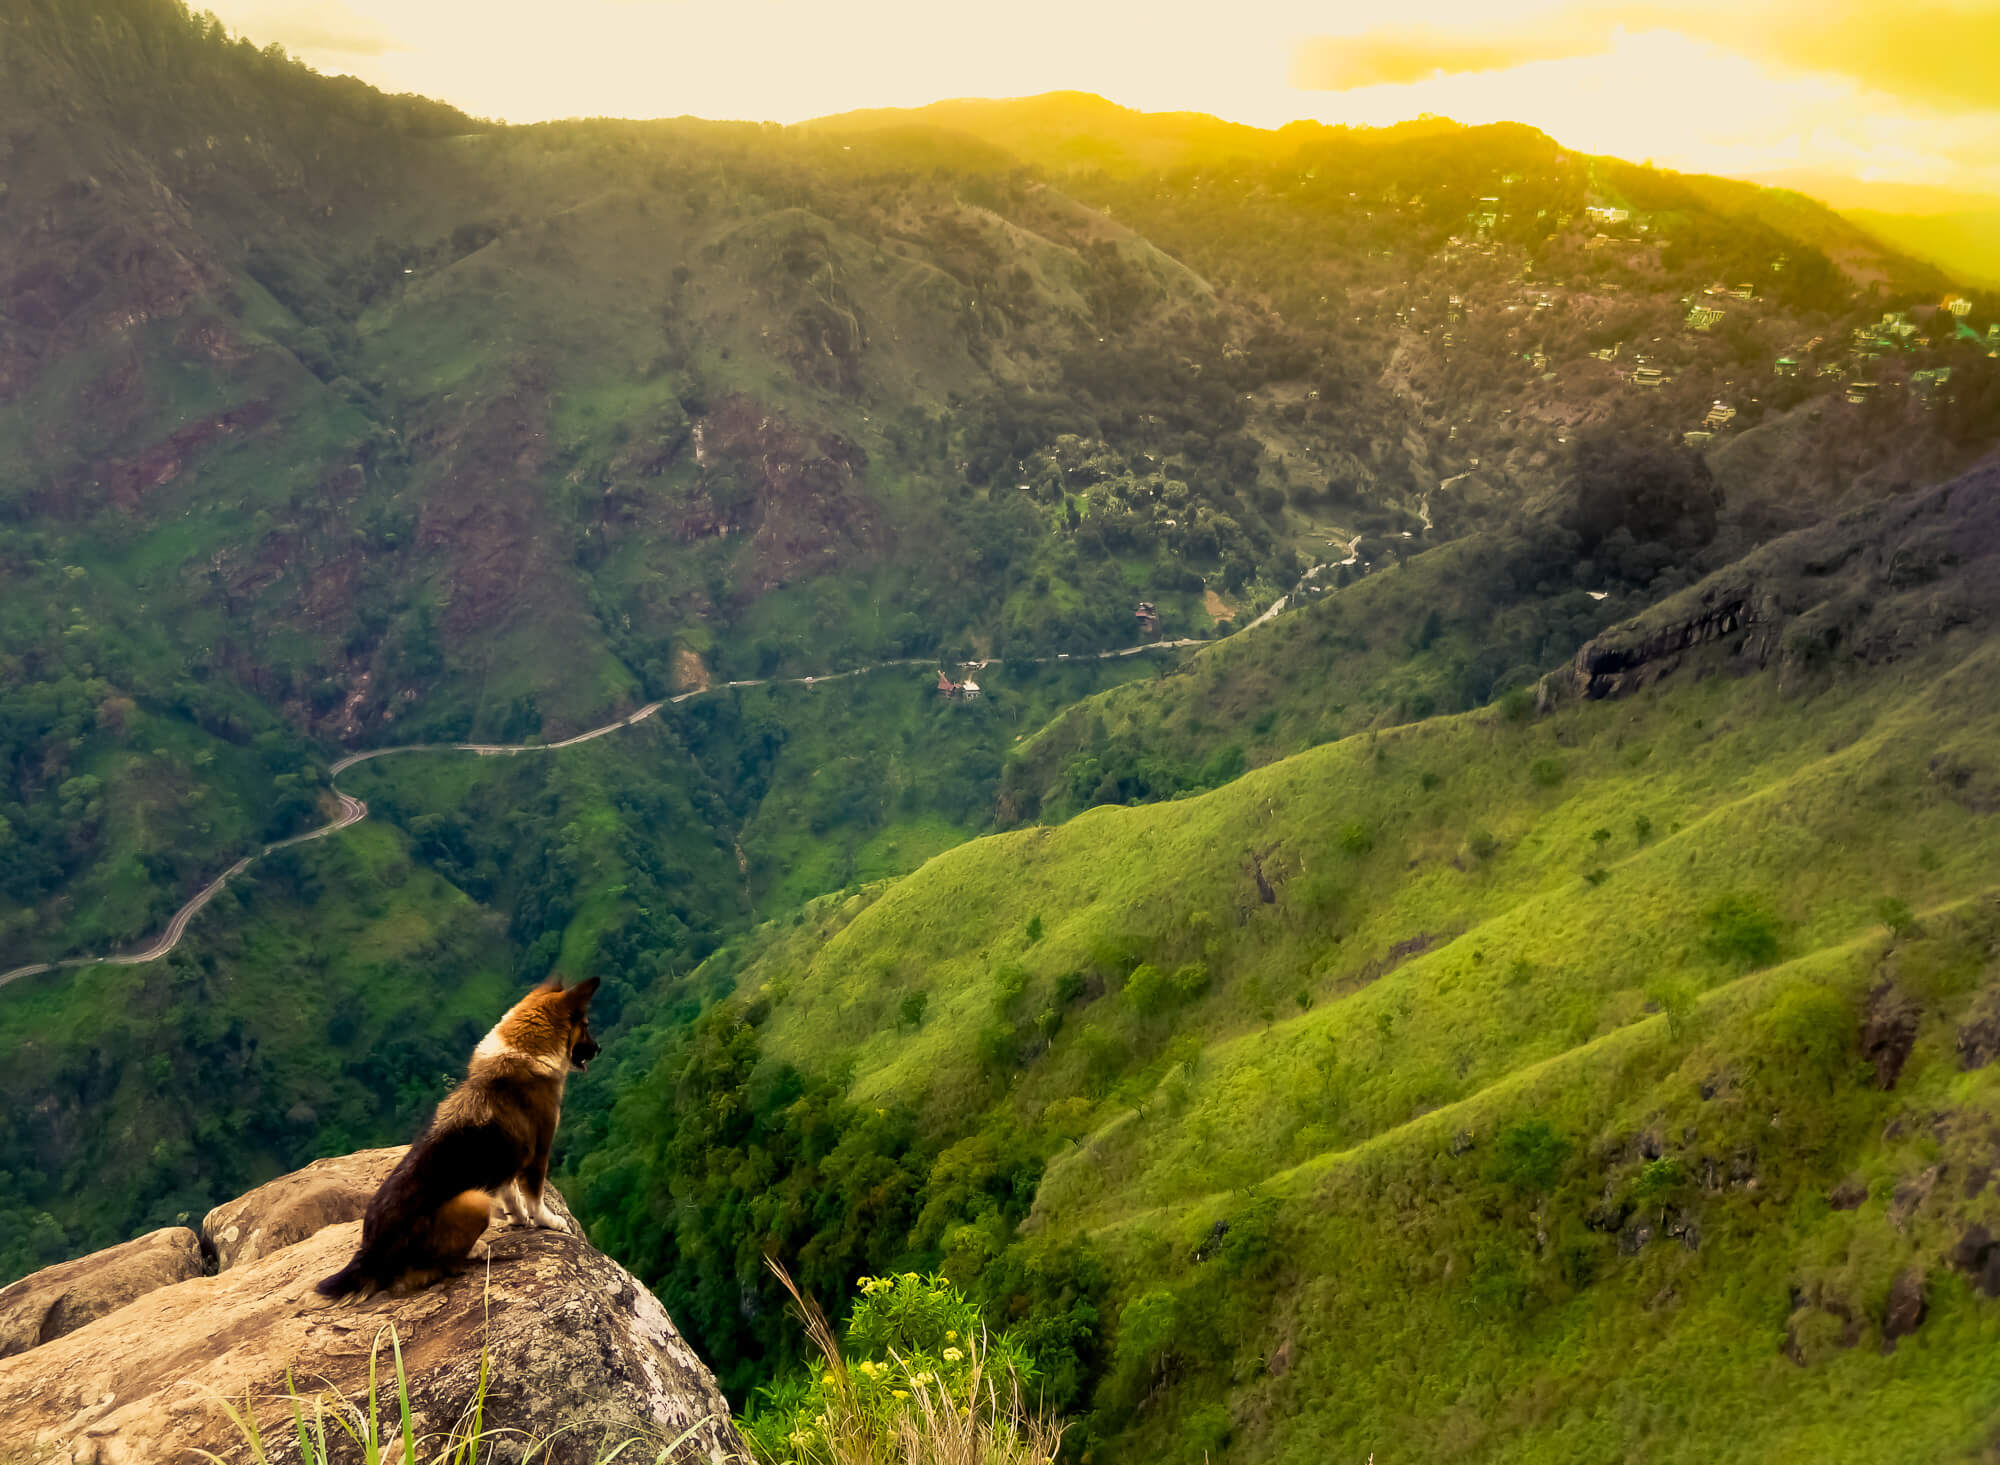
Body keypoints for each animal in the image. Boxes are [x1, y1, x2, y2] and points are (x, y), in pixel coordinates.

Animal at [314, 972, 600, 1304]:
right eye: (586, 1026)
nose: (599, 1049)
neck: (525, 1053)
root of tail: (371, 1253)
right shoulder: (538, 1153)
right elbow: (534, 1197)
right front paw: (549, 1222)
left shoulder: (505, 1158)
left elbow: (511, 1194)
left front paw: (518, 1219)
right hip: (473, 1200)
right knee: (435, 1267)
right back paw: (474, 1249)